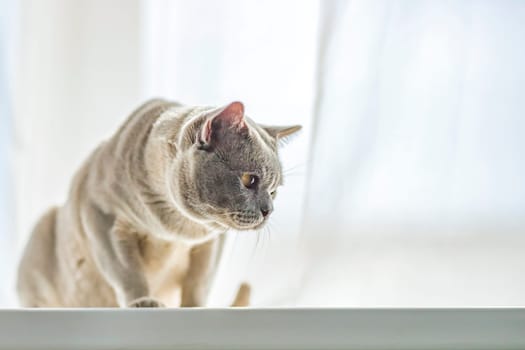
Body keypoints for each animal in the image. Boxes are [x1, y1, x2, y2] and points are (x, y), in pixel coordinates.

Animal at [16, 98, 300, 306]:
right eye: (249, 180)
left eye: (274, 191)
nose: (268, 210)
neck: (176, 228)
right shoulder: (103, 218)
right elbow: (127, 272)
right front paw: (143, 302)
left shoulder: (211, 244)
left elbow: (199, 284)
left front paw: (195, 309)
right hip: (43, 231)